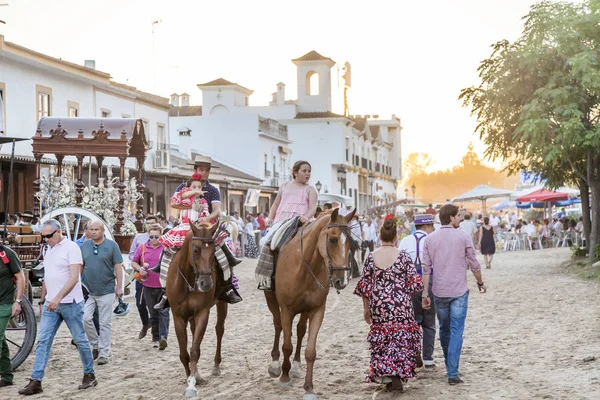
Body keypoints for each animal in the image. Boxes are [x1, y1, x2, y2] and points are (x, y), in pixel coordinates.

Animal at [168, 222, 229, 396]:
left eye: (214, 251)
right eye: (196, 250)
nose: (206, 283)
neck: (188, 280)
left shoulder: (202, 312)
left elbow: (195, 350)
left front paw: (192, 384)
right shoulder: (178, 317)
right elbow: (184, 354)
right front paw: (192, 376)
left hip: (222, 302)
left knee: (219, 329)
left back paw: (216, 366)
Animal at [264, 209, 356, 400]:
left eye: (350, 243)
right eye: (333, 239)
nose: (342, 280)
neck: (305, 266)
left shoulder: (317, 310)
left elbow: (310, 351)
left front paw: (309, 388)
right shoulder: (286, 309)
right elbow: (287, 345)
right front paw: (284, 376)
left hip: (305, 309)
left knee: (300, 331)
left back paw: (296, 366)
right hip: (271, 299)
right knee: (278, 326)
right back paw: (276, 364)